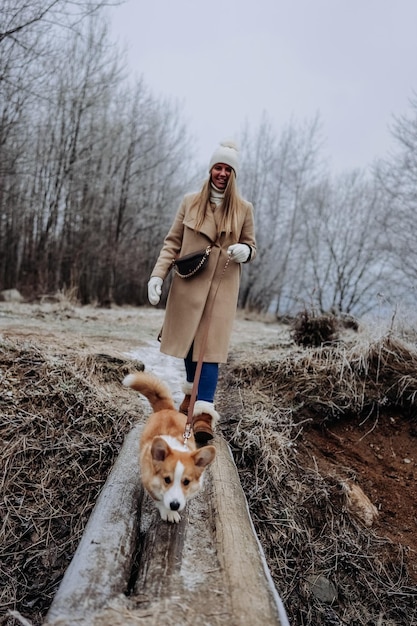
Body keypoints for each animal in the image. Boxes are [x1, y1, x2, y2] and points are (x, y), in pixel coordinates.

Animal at [122, 370, 214, 520]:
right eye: (166, 479)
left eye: (186, 482)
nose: (175, 505)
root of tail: (167, 409)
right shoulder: (149, 483)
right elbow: (159, 500)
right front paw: (168, 512)